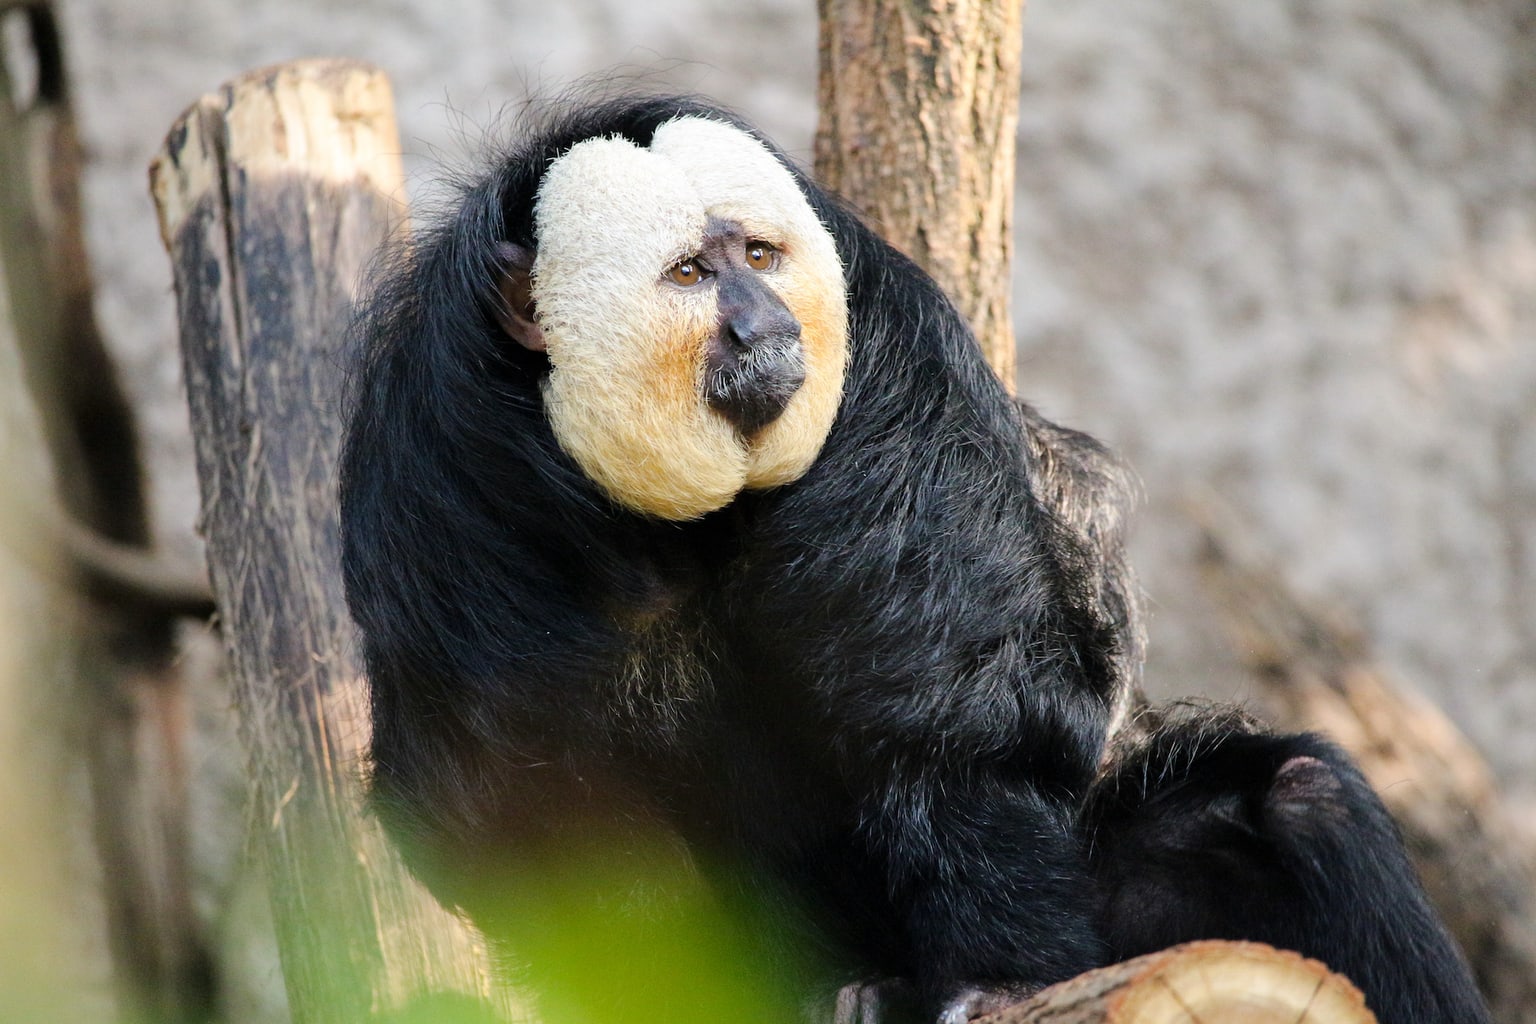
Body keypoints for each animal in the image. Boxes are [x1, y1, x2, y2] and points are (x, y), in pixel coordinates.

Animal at [342, 95, 1492, 1024]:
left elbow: (953, 721)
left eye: (759, 257)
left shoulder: (894, 364)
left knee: (1303, 795)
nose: (762, 325)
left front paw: (993, 979)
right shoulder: (440, 479)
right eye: (690, 275)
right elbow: (523, 804)